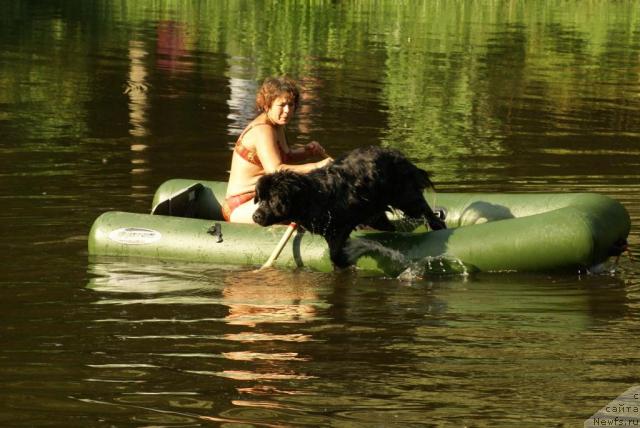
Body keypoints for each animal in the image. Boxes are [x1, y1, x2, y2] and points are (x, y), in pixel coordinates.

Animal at [250, 145, 444, 270]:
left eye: (272, 201)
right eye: (260, 199)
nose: (256, 216)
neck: (313, 195)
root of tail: (399, 155)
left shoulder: (341, 225)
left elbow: (335, 253)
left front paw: (344, 262)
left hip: (405, 196)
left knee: (425, 210)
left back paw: (437, 226)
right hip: (376, 210)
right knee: (388, 224)